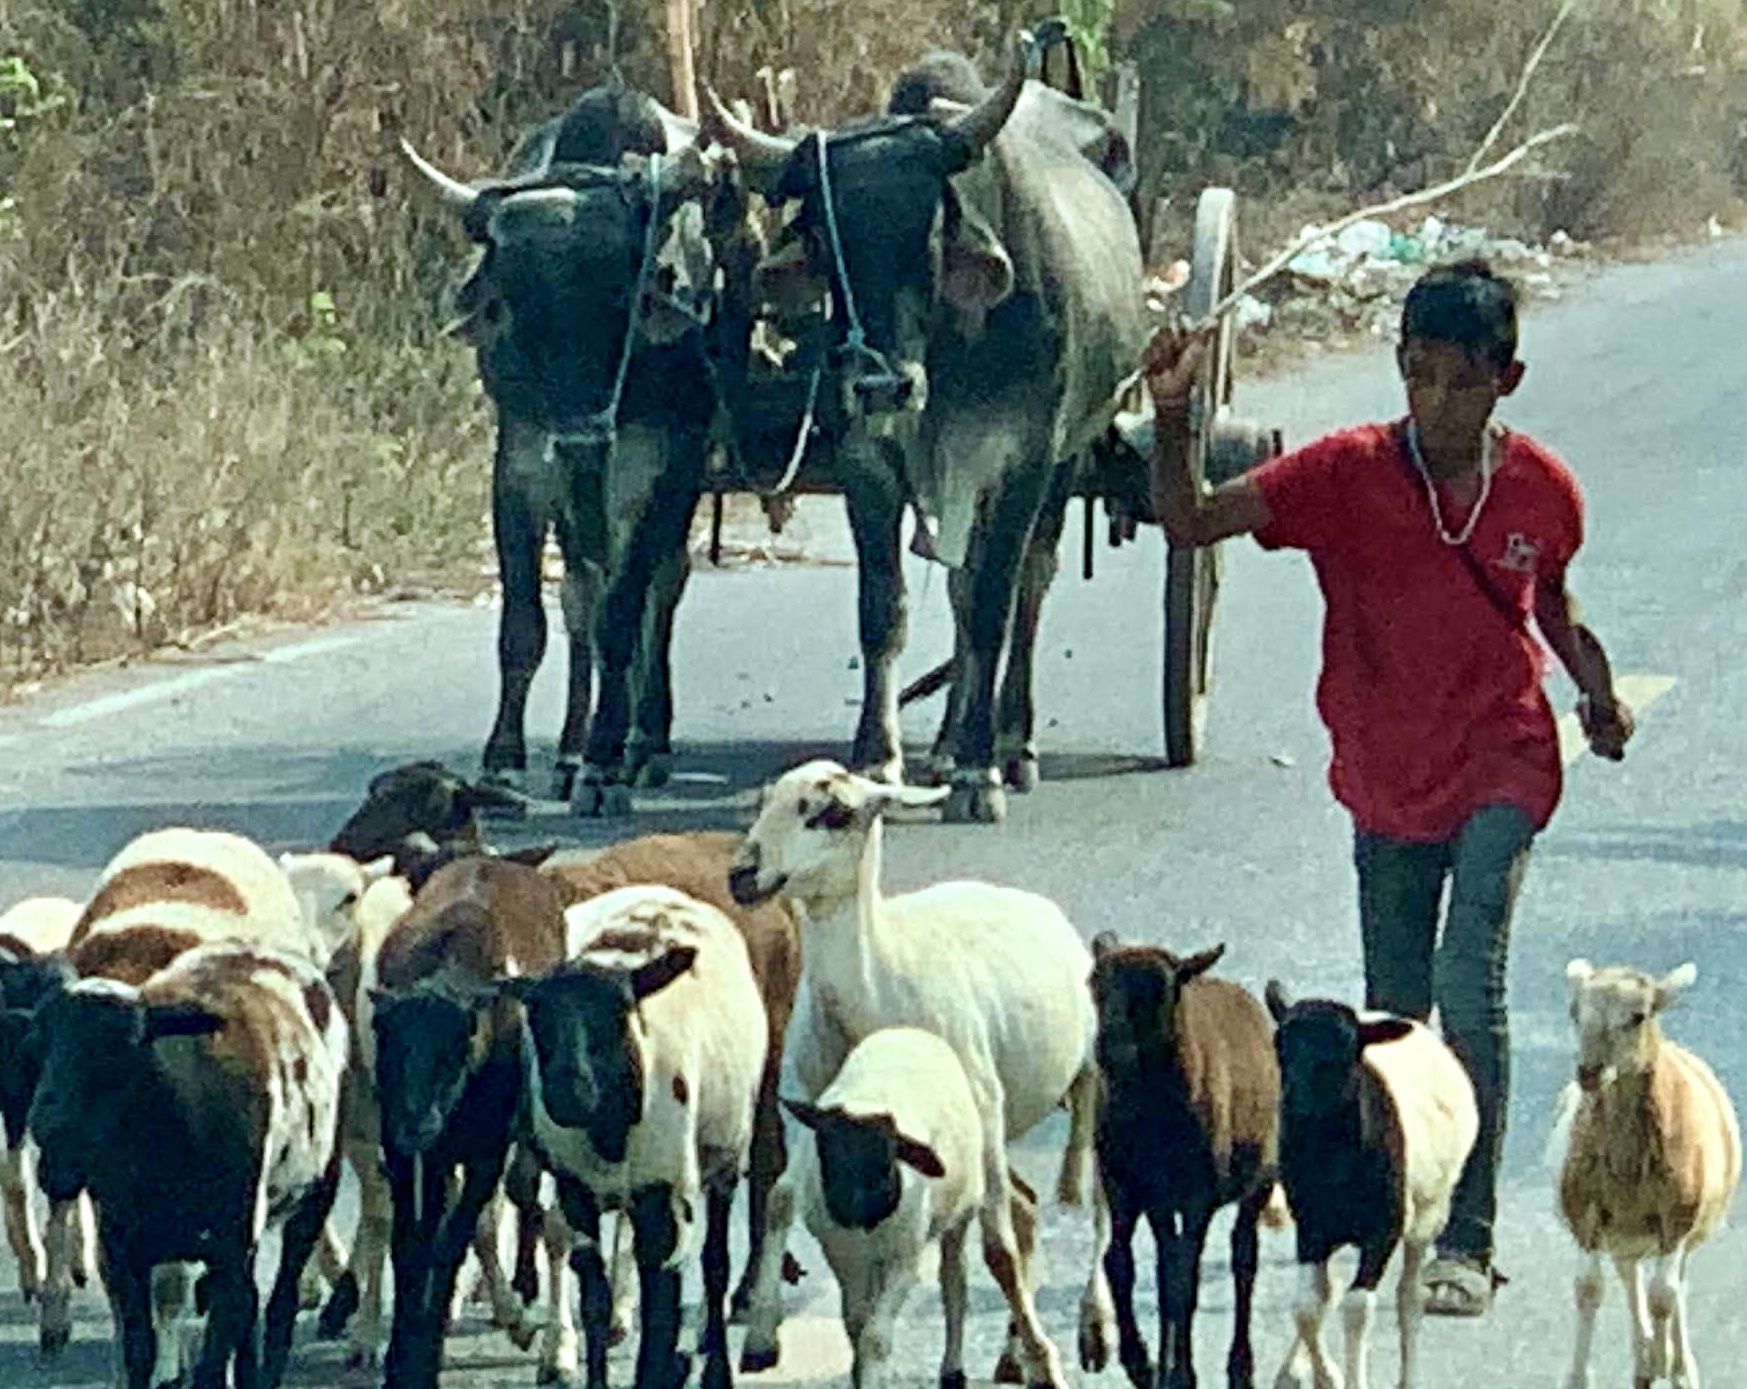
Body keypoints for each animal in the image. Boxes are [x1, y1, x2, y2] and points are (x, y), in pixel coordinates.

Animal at [779, 1027, 985, 1389]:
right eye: (825, 1149)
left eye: (886, 1159)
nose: (846, 1208)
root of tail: (908, 1030)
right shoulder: (844, 1257)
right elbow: (856, 1322)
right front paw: (859, 1373)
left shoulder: (904, 1261)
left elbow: (875, 1336)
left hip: (960, 1213)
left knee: (954, 1283)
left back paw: (952, 1367)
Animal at [1551, 957, 1740, 1389]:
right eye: (1575, 1011)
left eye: (1638, 1016)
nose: (1589, 1072)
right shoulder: (1587, 1212)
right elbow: (1588, 1289)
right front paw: (1579, 1377)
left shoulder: (1677, 1218)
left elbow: (1663, 1296)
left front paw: (1667, 1362)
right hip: (1625, 1231)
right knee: (1629, 1275)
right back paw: (1644, 1359)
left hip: (1675, 1229)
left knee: (1672, 1287)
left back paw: (1674, 1364)